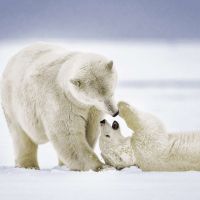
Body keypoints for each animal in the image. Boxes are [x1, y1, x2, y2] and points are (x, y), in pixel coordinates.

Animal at [0, 43, 118, 171]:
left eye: (111, 93)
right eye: (98, 99)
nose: (115, 112)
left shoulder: (91, 109)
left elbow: (91, 131)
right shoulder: (62, 102)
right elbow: (69, 137)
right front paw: (102, 166)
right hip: (12, 103)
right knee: (21, 136)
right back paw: (29, 165)